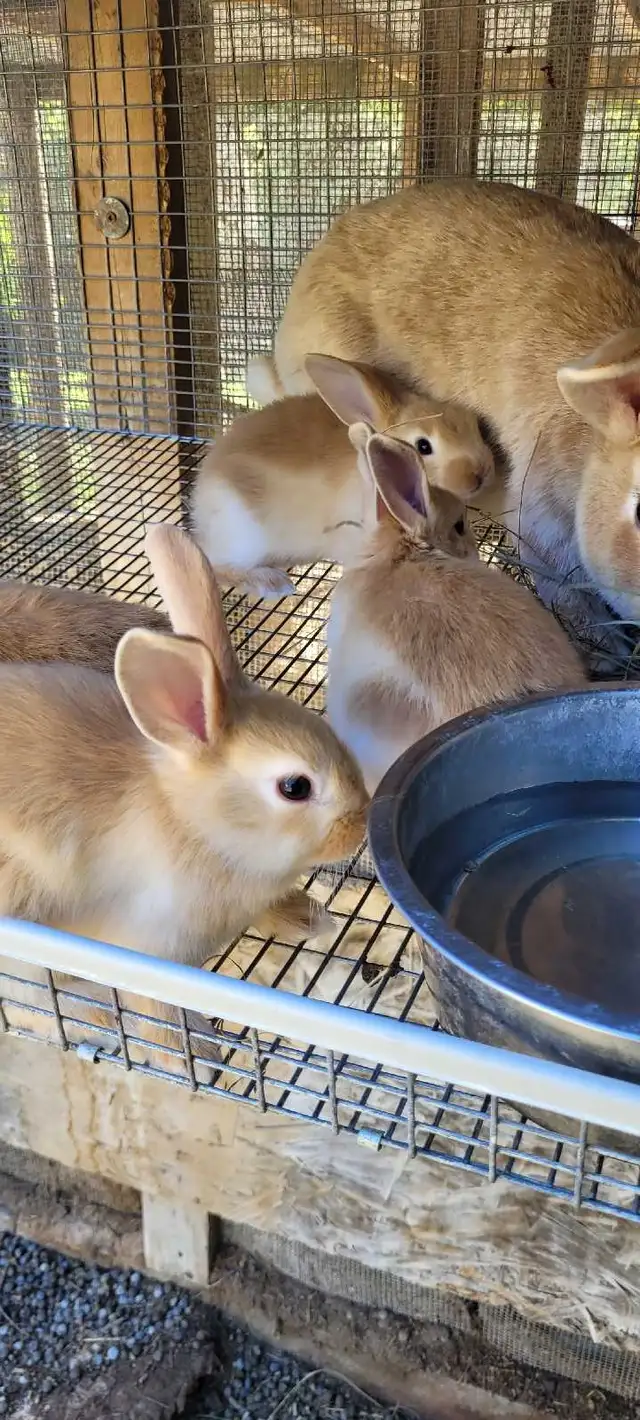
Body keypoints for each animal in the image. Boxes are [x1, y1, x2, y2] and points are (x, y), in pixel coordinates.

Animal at [190, 354, 494, 602]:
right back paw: (272, 583)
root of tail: (199, 503)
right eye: (423, 446)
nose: (480, 475)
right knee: (213, 562)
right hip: (244, 536)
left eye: (472, 423)